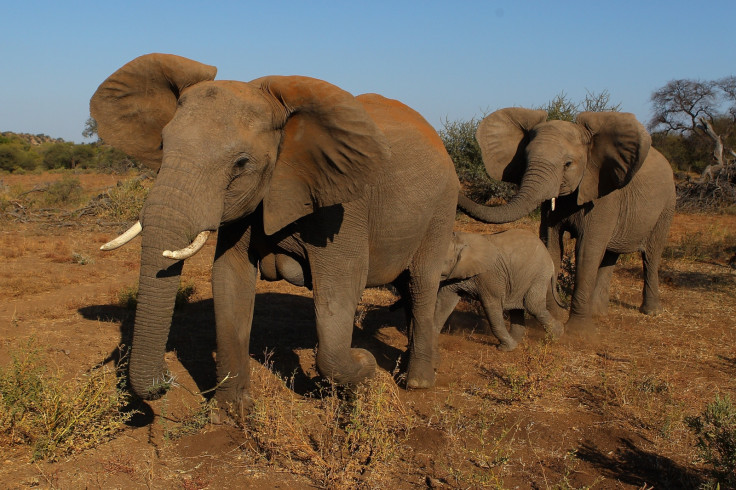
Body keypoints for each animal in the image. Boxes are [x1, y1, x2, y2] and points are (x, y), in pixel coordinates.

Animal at [90, 53, 460, 416]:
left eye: (241, 163)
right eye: (163, 145)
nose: (167, 380)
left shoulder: (342, 207)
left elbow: (341, 286)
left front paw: (364, 367)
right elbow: (229, 279)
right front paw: (233, 413)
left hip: (442, 207)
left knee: (421, 283)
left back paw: (417, 381)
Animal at [458, 108, 676, 334]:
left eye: (568, 164)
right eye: (525, 159)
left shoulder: (604, 194)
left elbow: (587, 250)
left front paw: (578, 332)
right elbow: (551, 244)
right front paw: (555, 316)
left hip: (667, 204)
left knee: (651, 253)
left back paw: (651, 311)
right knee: (610, 255)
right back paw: (598, 313)